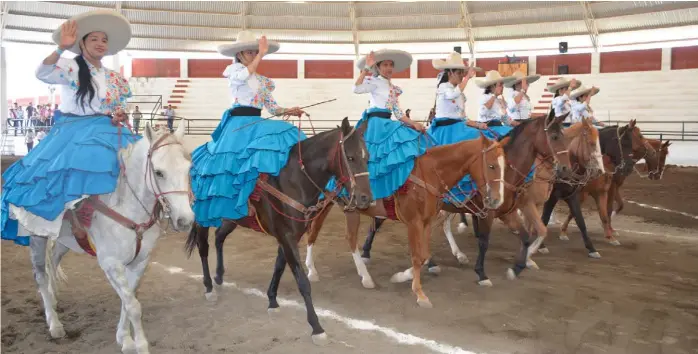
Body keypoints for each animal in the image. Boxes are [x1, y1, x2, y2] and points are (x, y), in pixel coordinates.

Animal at [23, 122, 193, 354]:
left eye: (188, 168)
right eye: (159, 172)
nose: (186, 220)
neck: (126, 209)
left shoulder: (139, 262)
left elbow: (128, 300)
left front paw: (124, 338)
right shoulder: (111, 263)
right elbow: (133, 305)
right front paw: (140, 344)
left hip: (63, 241)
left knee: (53, 262)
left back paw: (54, 298)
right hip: (37, 236)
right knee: (40, 275)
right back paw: (54, 324)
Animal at [185, 117, 370, 344]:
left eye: (368, 157)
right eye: (350, 157)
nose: (366, 198)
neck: (293, 181)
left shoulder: (290, 236)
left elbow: (279, 266)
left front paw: (272, 300)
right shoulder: (286, 235)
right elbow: (302, 280)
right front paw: (316, 327)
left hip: (230, 217)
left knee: (219, 237)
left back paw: (219, 276)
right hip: (204, 217)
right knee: (203, 246)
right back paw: (209, 287)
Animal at [304, 133, 500, 306]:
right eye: (491, 166)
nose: (496, 199)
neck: (429, 173)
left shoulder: (426, 222)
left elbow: (424, 255)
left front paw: (401, 277)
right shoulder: (414, 223)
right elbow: (416, 256)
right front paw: (420, 294)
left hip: (351, 209)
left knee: (350, 238)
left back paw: (365, 277)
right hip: (323, 204)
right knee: (313, 232)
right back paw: (312, 271)